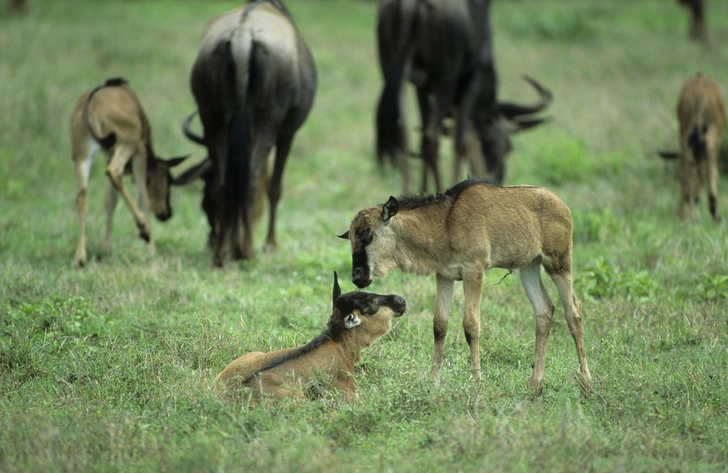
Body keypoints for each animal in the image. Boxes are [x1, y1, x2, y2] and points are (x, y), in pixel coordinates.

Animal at [70, 79, 188, 268]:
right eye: (169, 179)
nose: (166, 214)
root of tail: (91, 107)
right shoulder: (140, 152)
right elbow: (143, 197)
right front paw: (151, 248)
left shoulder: (108, 153)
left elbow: (110, 200)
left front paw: (106, 250)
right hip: (127, 143)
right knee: (114, 171)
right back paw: (144, 228)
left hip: (82, 155)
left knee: (82, 195)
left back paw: (80, 258)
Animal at [181, 0, 316, 266]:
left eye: (205, 204)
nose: (210, 240)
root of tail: (242, 37)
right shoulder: (288, 131)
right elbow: (274, 187)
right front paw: (270, 245)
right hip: (266, 123)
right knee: (252, 181)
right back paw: (246, 251)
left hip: (212, 120)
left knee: (225, 183)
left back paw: (222, 253)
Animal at [340, 179, 592, 396]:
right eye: (351, 238)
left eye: (368, 234)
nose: (357, 276)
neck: (444, 223)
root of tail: (561, 203)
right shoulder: (444, 275)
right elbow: (439, 325)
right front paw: (433, 381)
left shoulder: (474, 271)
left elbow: (471, 325)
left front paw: (477, 381)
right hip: (529, 267)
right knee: (544, 310)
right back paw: (535, 385)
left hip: (559, 263)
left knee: (573, 313)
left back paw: (586, 383)